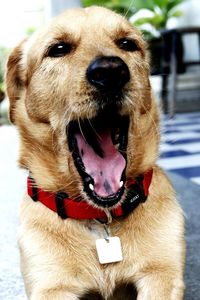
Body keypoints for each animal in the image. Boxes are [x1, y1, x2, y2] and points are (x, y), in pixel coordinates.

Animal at [5, 5, 184, 300]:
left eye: (127, 43)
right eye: (58, 48)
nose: (111, 71)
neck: (102, 221)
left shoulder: (162, 274)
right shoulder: (51, 286)